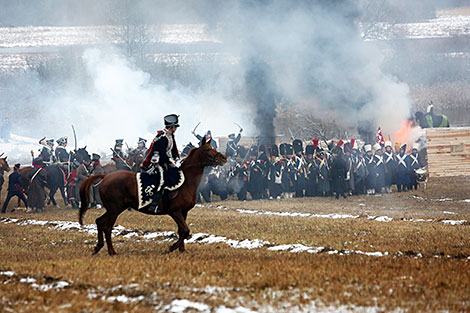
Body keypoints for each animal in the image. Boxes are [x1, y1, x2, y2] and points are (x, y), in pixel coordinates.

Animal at [79, 138, 228, 255]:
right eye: (207, 150)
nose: (223, 158)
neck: (185, 181)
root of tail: (105, 177)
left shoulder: (183, 212)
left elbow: (182, 231)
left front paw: (182, 250)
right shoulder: (175, 212)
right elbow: (185, 230)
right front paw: (171, 247)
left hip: (114, 209)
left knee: (101, 223)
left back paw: (101, 248)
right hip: (114, 209)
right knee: (106, 226)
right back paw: (110, 251)